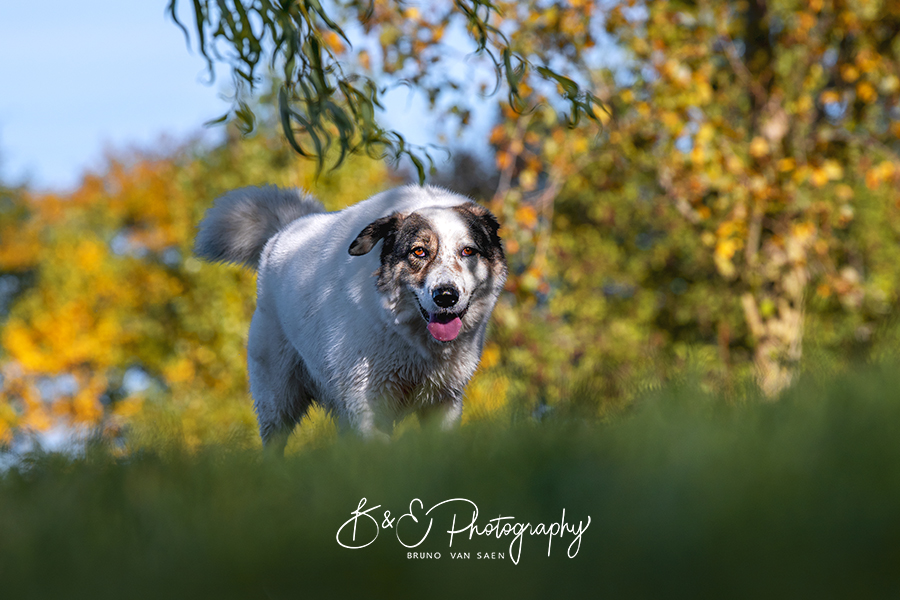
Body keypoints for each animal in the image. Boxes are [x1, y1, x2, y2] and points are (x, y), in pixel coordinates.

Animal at [195, 185, 506, 452]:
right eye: (419, 251)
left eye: (468, 251)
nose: (446, 296)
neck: (413, 341)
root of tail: (284, 230)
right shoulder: (368, 404)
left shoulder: (444, 402)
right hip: (278, 400)